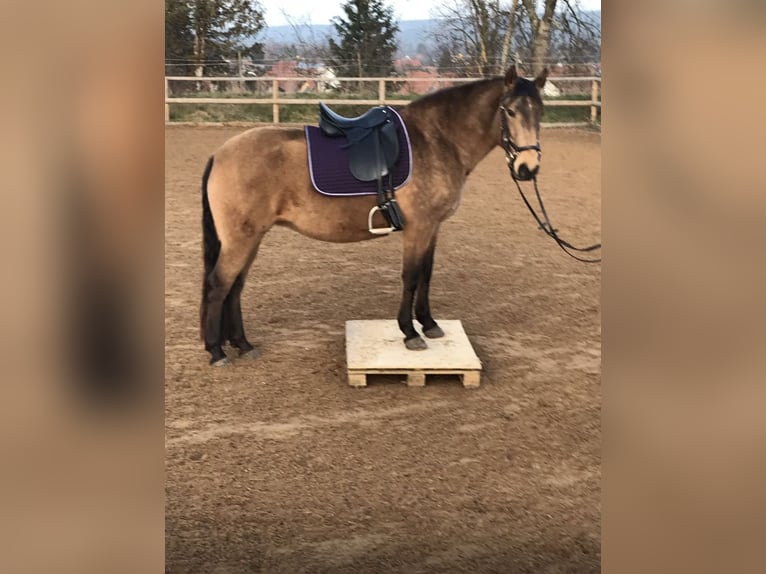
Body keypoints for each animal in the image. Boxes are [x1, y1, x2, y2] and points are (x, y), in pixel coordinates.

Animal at [201, 65, 548, 366]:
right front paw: (410, 333)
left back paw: (243, 345)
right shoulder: (418, 227)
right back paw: (217, 351)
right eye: (510, 111)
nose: (527, 169)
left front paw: (429, 324)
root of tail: (220, 154)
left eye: (540, 111)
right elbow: (411, 276)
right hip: (241, 238)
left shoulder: (432, 228)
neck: (437, 140)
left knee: (235, 286)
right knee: (220, 284)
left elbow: (426, 274)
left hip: (252, 236)